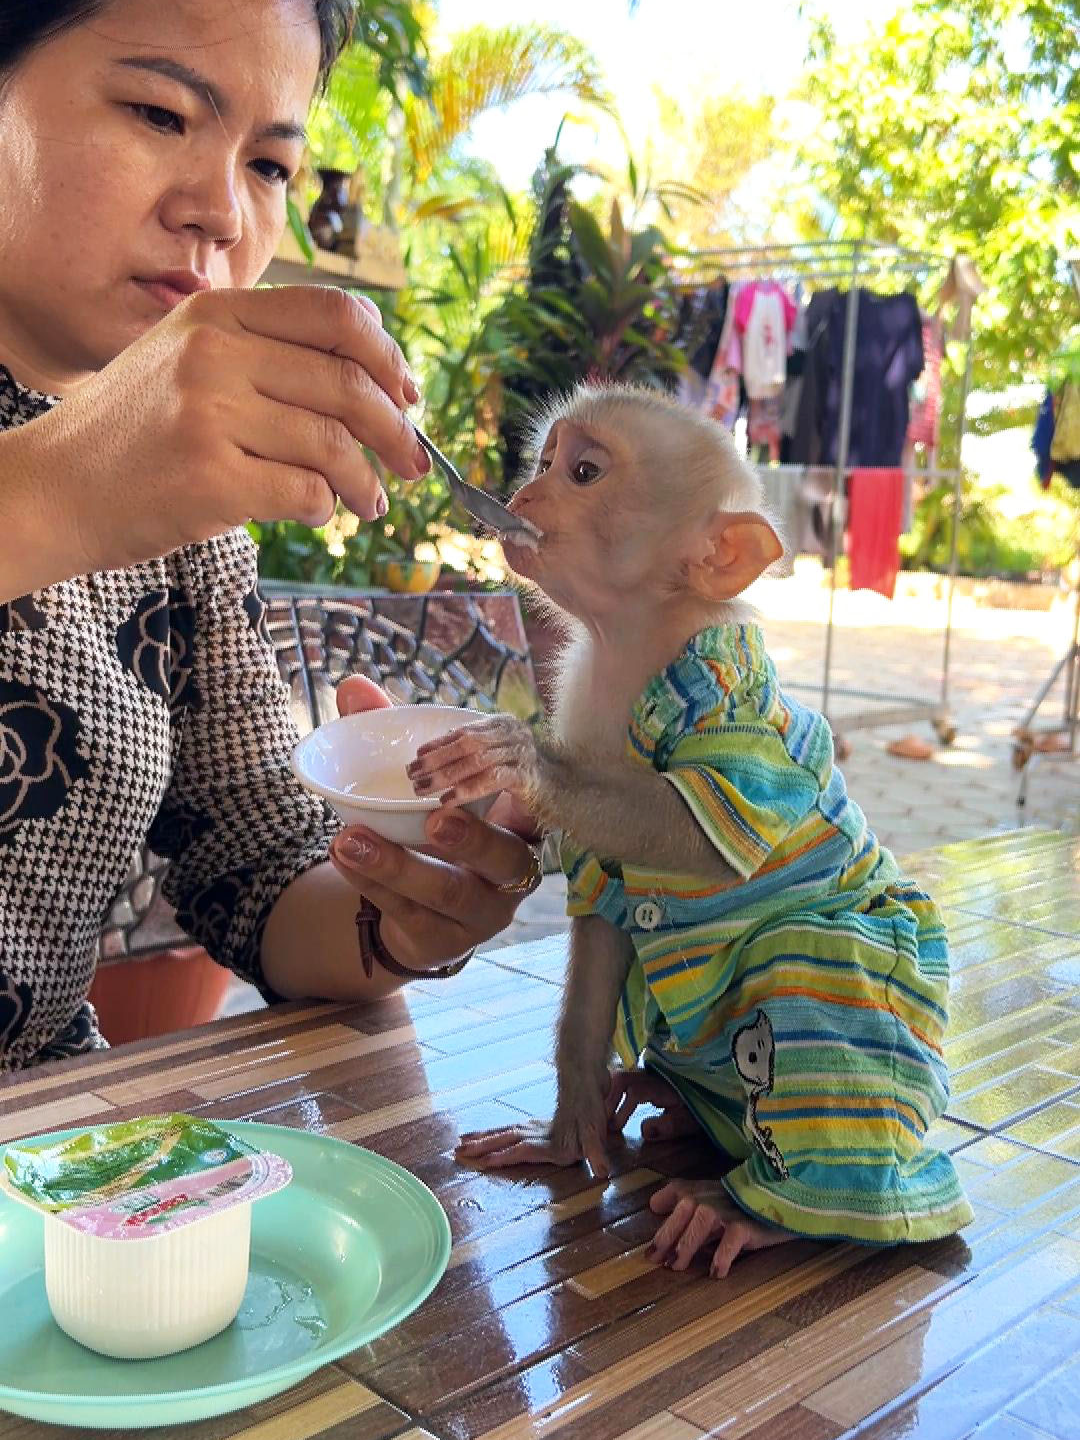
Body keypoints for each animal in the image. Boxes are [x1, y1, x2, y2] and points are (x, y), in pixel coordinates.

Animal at [411, 383, 973, 1272]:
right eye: (545, 463)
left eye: (583, 472)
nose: (523, 500)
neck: (634, 642)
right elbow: (602, 915)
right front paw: (569, 1126)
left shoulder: (726, 689)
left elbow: (694, 834)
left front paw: (518, 761)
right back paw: (663, 1101)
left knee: (816, 957)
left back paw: (768, 1212)